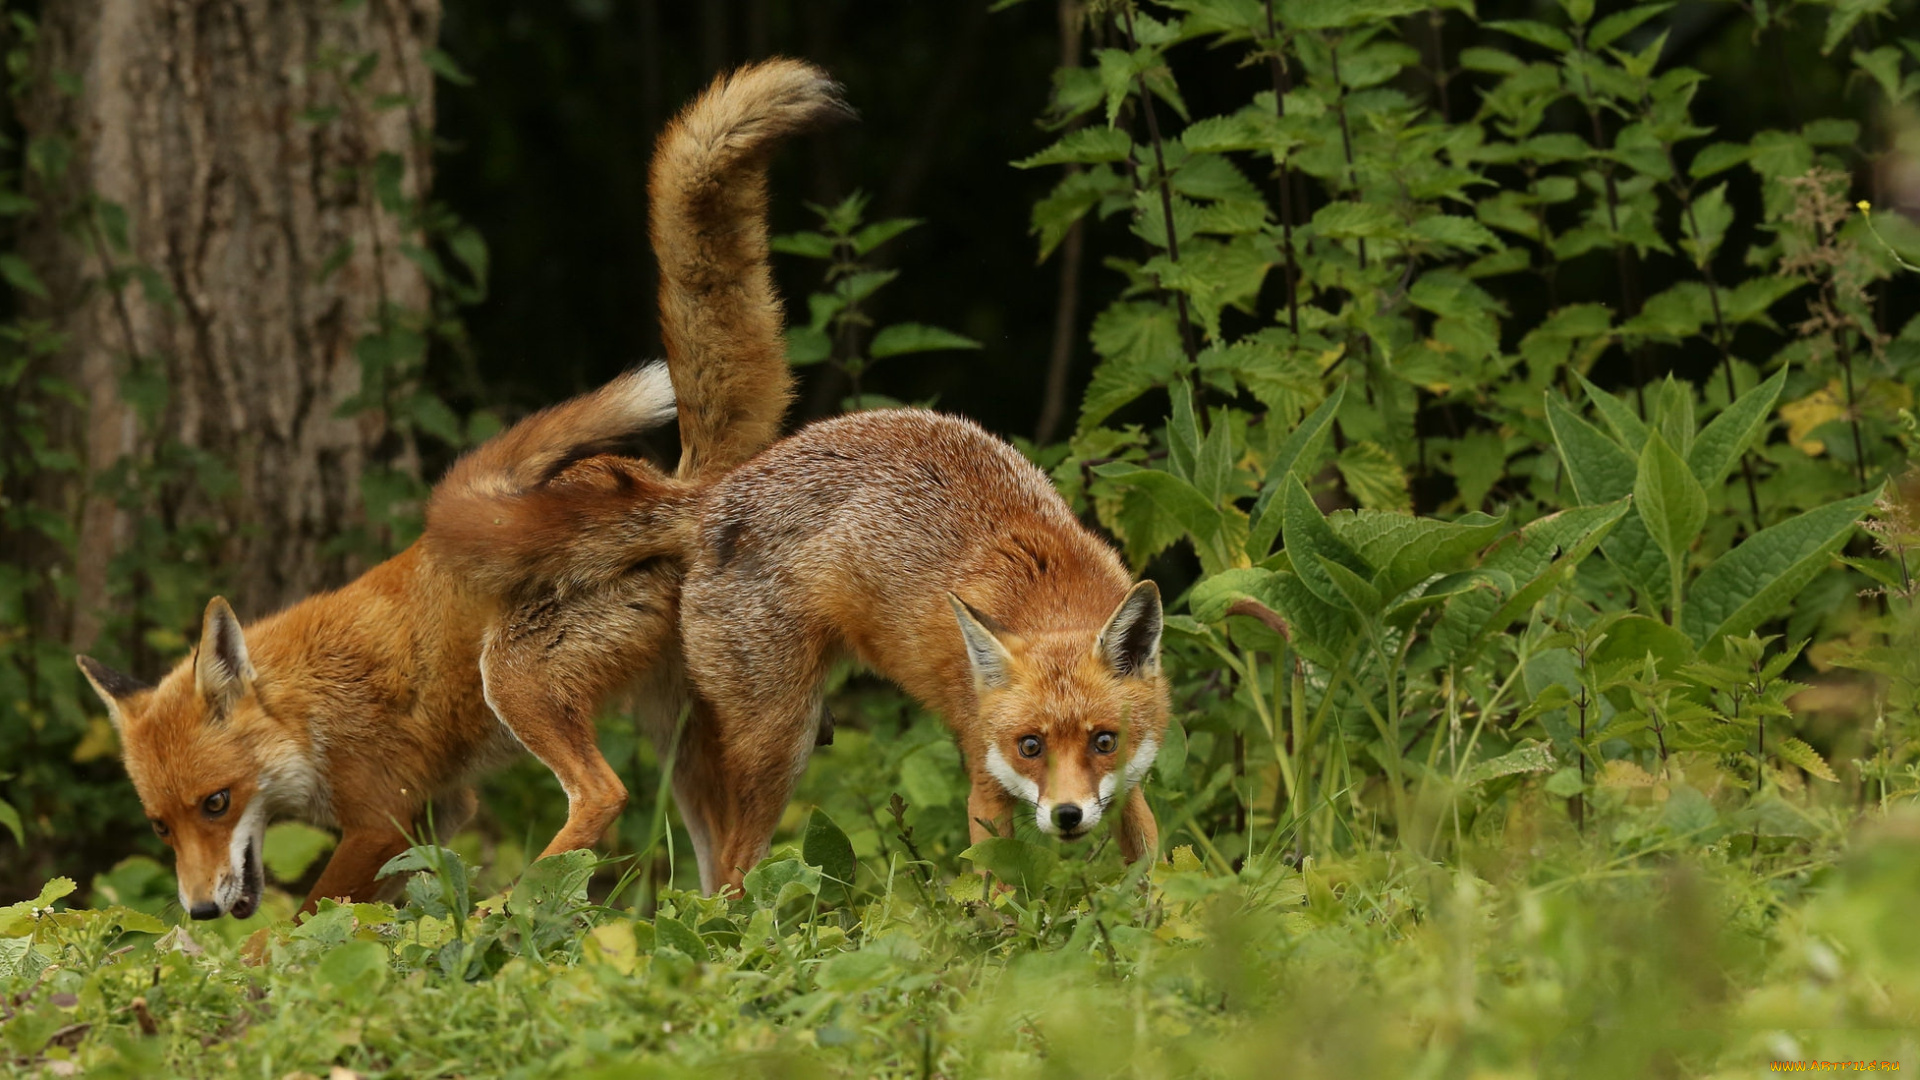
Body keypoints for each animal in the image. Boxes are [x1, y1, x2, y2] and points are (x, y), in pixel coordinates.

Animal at [74, 58, 840, 914]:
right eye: (160, 826)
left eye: (217, 802)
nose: (203, 910)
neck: (309, 713)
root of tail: (677, 489)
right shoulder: (443, 813)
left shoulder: (384, 813)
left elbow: (302, 919)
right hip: (682, 734)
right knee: (729, 866)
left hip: (518, 680)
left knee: (603, 797)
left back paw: (518, 904)